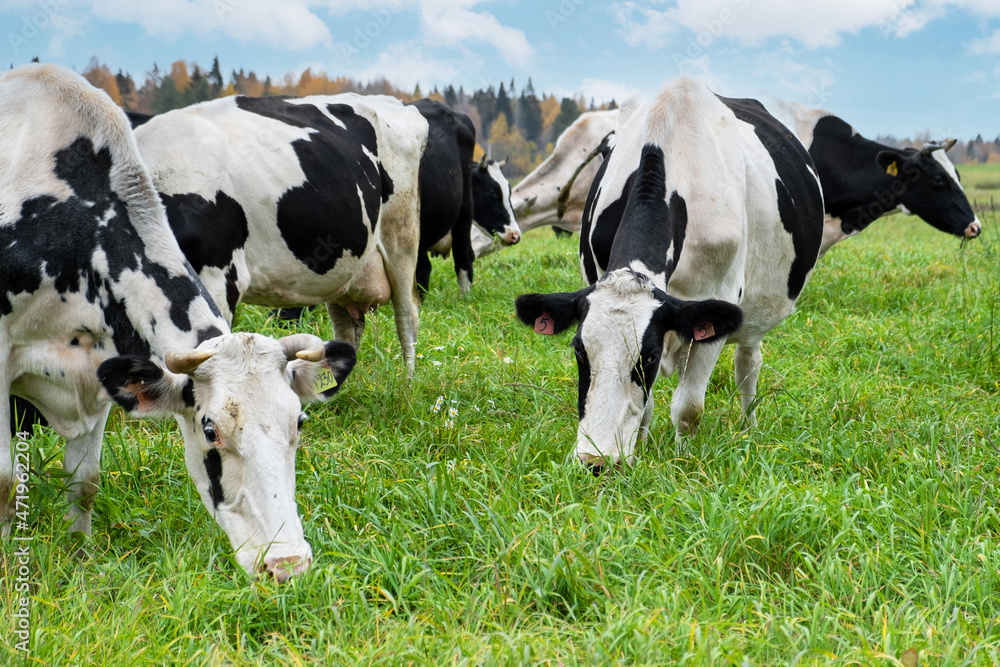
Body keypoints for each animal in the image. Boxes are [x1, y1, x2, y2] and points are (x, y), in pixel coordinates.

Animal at [0, 65, 360, 580]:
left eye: (300, 421)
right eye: (210, 430)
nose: (287, 564)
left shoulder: (100, 368)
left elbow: (84, 481)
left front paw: (80, 558)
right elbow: (6, 484)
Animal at [512, 79, 824, 470]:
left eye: (647, 357)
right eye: (580, 351)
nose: (594, 461)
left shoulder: (715, 308)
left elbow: (688, 407)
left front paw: (681, 459)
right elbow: (644, 405)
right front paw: (639, 449)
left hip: (754, 314)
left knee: (748, 366)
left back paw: (748, 427)